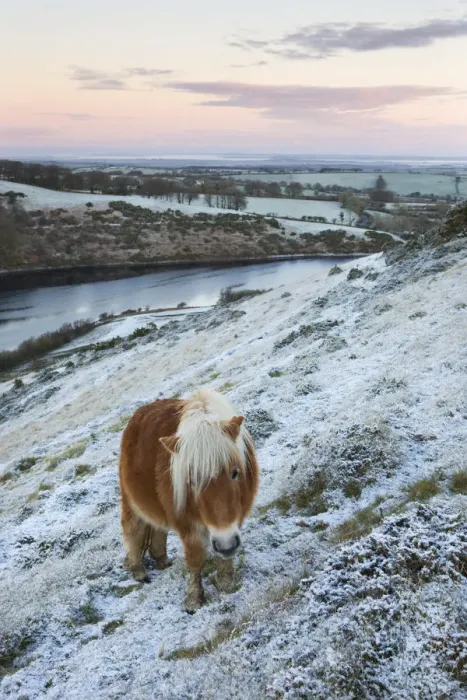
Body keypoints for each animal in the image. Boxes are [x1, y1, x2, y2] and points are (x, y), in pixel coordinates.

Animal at [119, 389, 259, 612]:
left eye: (235, 473)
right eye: (191, 482)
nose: (226, 543)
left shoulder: (234, 521)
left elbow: (225, 555)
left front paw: (227, 583)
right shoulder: (186, 524)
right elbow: (195, 559)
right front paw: (193, 600)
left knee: (158, 530)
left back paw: (162, 561)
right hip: (131, 501)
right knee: (132, 529)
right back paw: (139, 571)